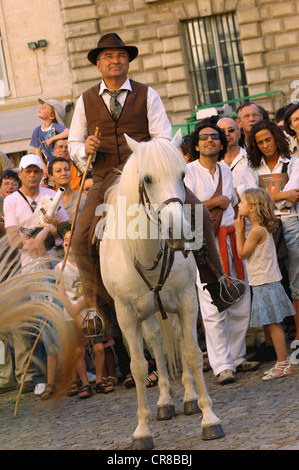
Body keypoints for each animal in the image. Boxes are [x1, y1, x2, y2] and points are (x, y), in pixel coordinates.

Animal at [99, 131, 225, 448]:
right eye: (147, 179)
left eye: (183, 175)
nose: (177, 231)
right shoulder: (126, 315)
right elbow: (139, 367)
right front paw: (142, 430)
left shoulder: (187, 301)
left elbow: (192, 353)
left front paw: (209, 418)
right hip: (148, 313)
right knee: (156, 342)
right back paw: (165, 401)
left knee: (179, 338)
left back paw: (189, 398)